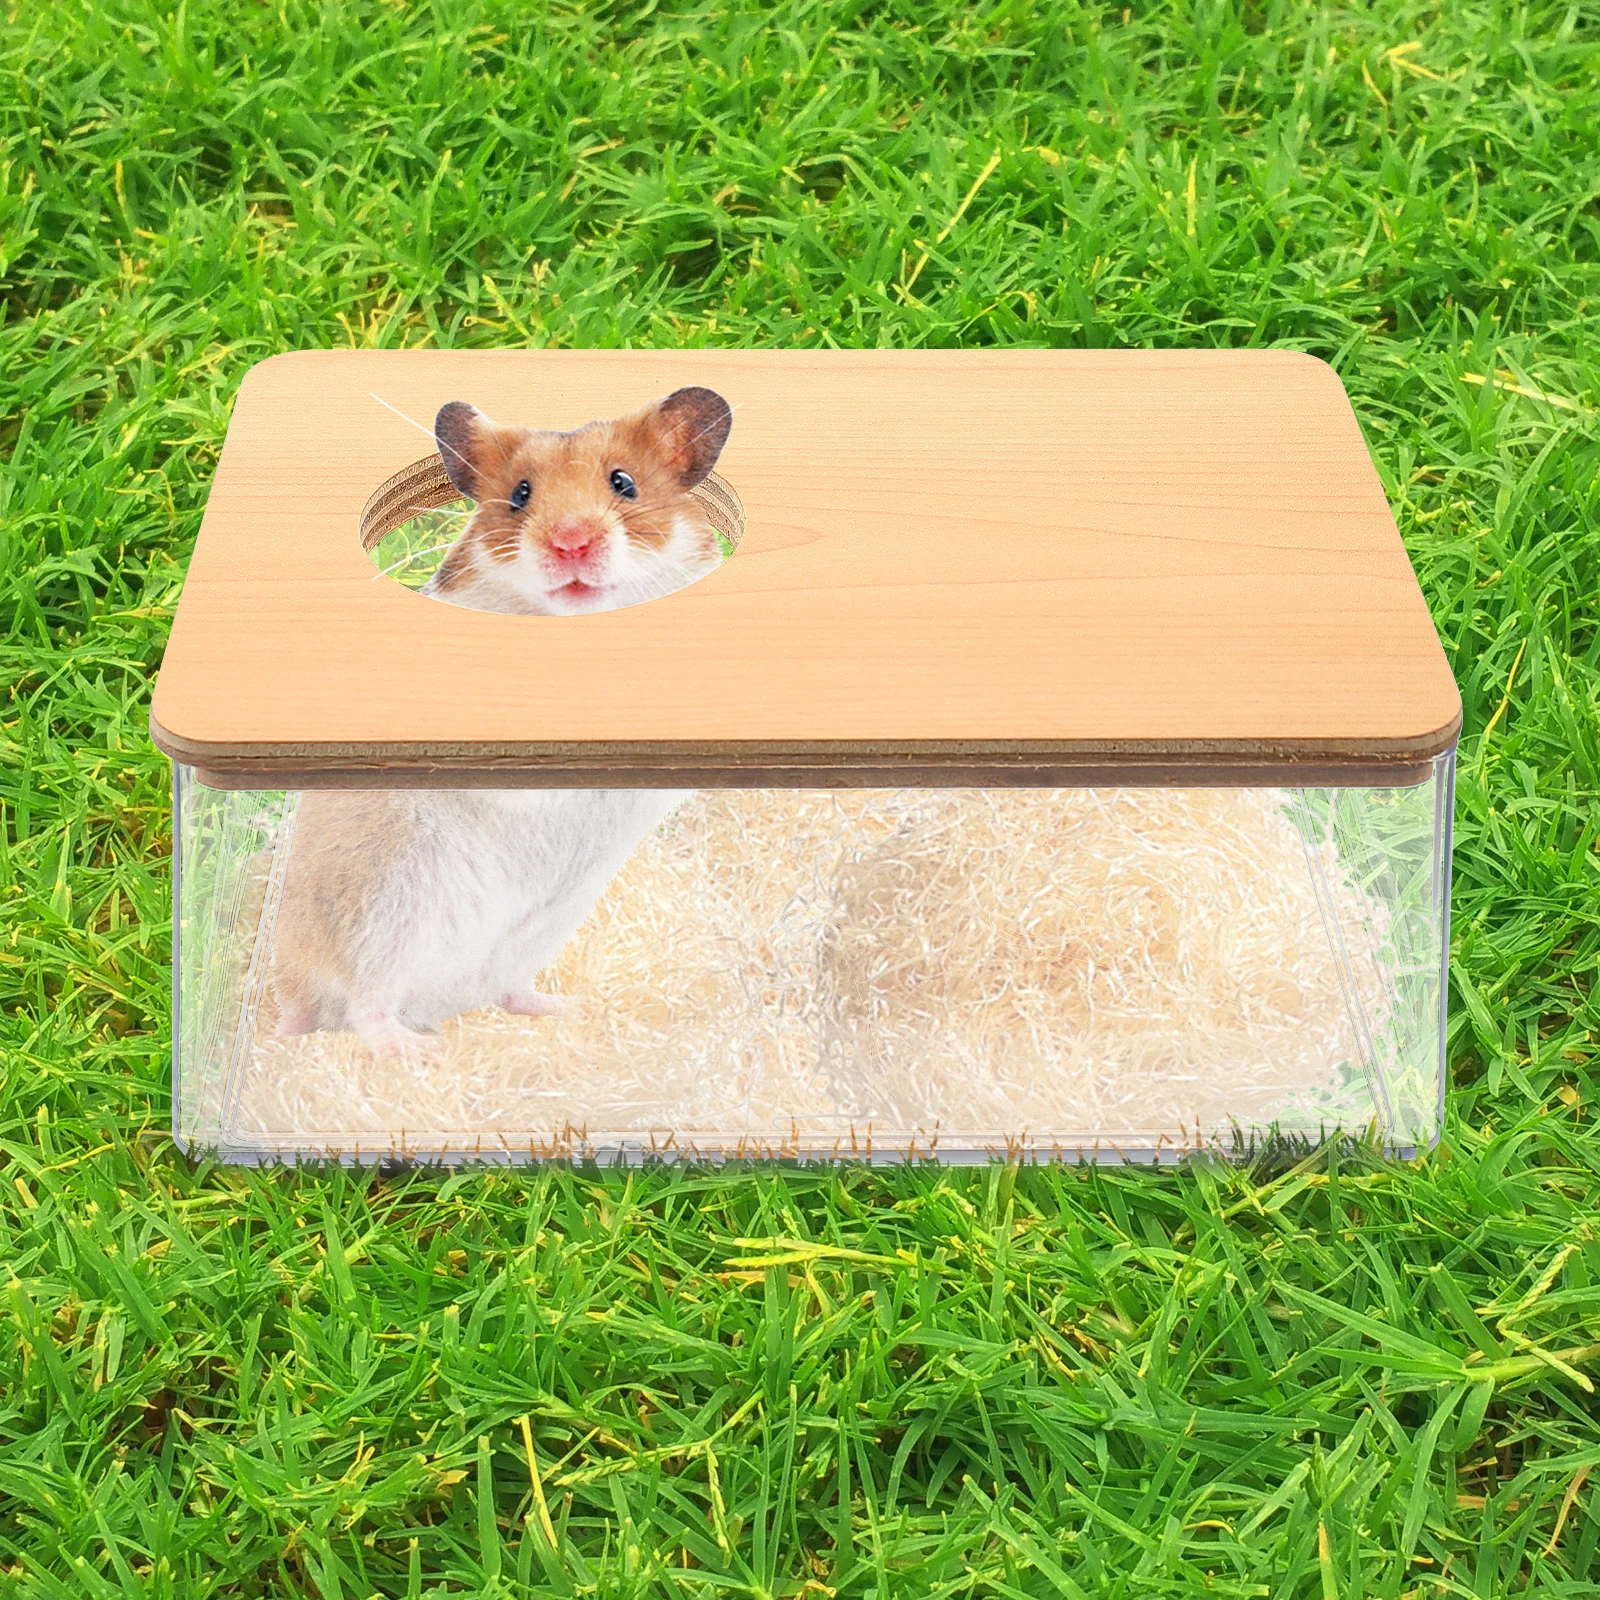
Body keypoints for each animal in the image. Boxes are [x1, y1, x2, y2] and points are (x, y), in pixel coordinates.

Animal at [268, 387, 733, 1058]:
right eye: (520, 495)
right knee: (365, 1006)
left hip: (538, 927)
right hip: (388, 899)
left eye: (624, 483)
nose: (570, 544)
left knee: (500, 990)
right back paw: (420, 1051)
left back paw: (569, 1009)